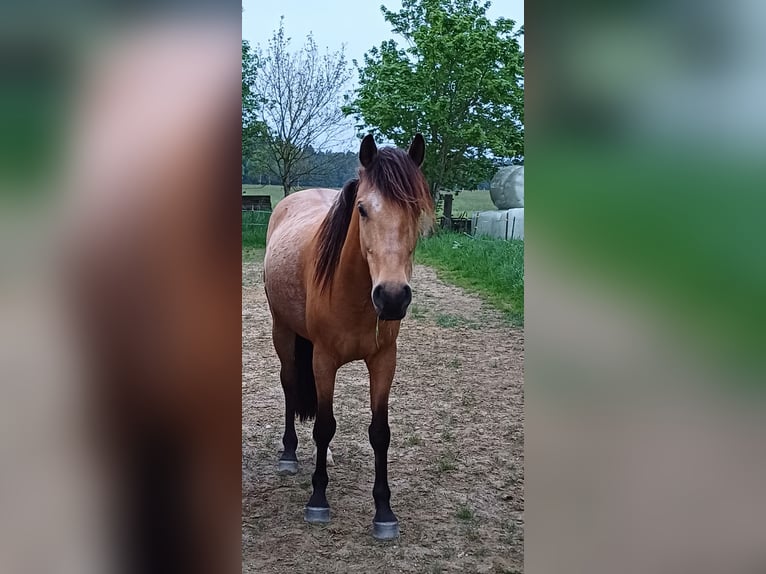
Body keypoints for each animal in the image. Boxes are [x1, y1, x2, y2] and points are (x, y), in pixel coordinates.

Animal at [263, 133, 433, 540]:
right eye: (363, 209)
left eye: (415, 210)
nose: (392, 297)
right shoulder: (324, 360)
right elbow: (324, 425)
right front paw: (318, 500)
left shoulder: (384, 360)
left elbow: (380, 432)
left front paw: (384, 512)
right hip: (283, 333)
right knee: (289, 383)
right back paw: (289, 454)